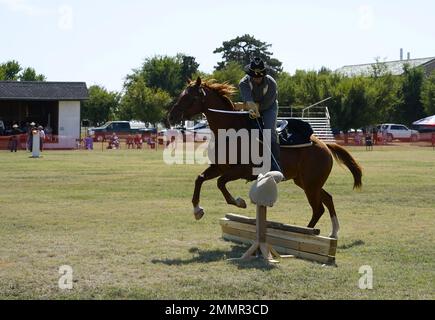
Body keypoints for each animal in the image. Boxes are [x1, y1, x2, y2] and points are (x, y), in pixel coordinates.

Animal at [169, 77, 362, 238]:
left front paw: (239, 202)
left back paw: (307, 232)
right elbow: (200, 179)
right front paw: (197, 210)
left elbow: (220, 183)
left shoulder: (240, 171)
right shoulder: (219, 167)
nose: (171, 116)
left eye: (191, 97)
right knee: (327, 200)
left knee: (318, 208)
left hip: (310, 185)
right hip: (305, 182)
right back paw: (332, 232)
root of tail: (325, 145)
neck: (231, 132)